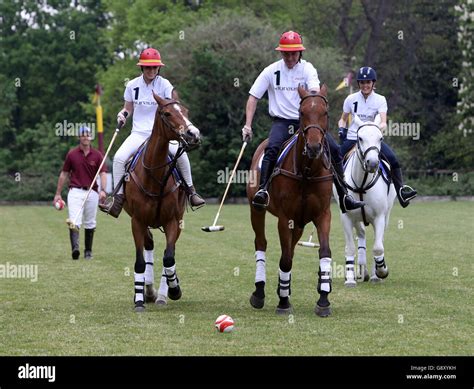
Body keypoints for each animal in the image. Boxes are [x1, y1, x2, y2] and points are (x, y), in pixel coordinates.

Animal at [122, 92, 200, 310]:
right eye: (167, 113)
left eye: (186, 111)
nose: (193, 134)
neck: (154, 175)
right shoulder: (137, 221)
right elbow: (140, 261)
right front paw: (139, 299)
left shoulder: (172, 221)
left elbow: (168, 257)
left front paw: (174, 290)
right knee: (149, 246)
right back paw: (147, 290)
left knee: (167, 254)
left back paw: (162, 295)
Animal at [246, 84, 336, 316]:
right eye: (302, 112)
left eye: (325, 112)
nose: (314, 147)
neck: (307, 171)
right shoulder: (285, 218)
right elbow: (285, 259)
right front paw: (283, 302)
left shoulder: (323, 215)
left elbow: (324, 252)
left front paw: (323, 299)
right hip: (256, 209)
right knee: (261, 243)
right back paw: (259, 292)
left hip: (301, 223)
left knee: (292, 248)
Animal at [336, 113, 398, 286]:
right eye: (360, 138)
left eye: (380, 138)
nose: (373, 163)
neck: (362, 183)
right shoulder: (346, 217)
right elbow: (350, 247)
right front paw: (350, 278)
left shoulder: (380, 217)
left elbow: (378, 247)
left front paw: (381, 272)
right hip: (358, 218)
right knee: (362, 235)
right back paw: (362, 271)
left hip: (387, 214)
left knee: (378, 240)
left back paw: (374, 274)